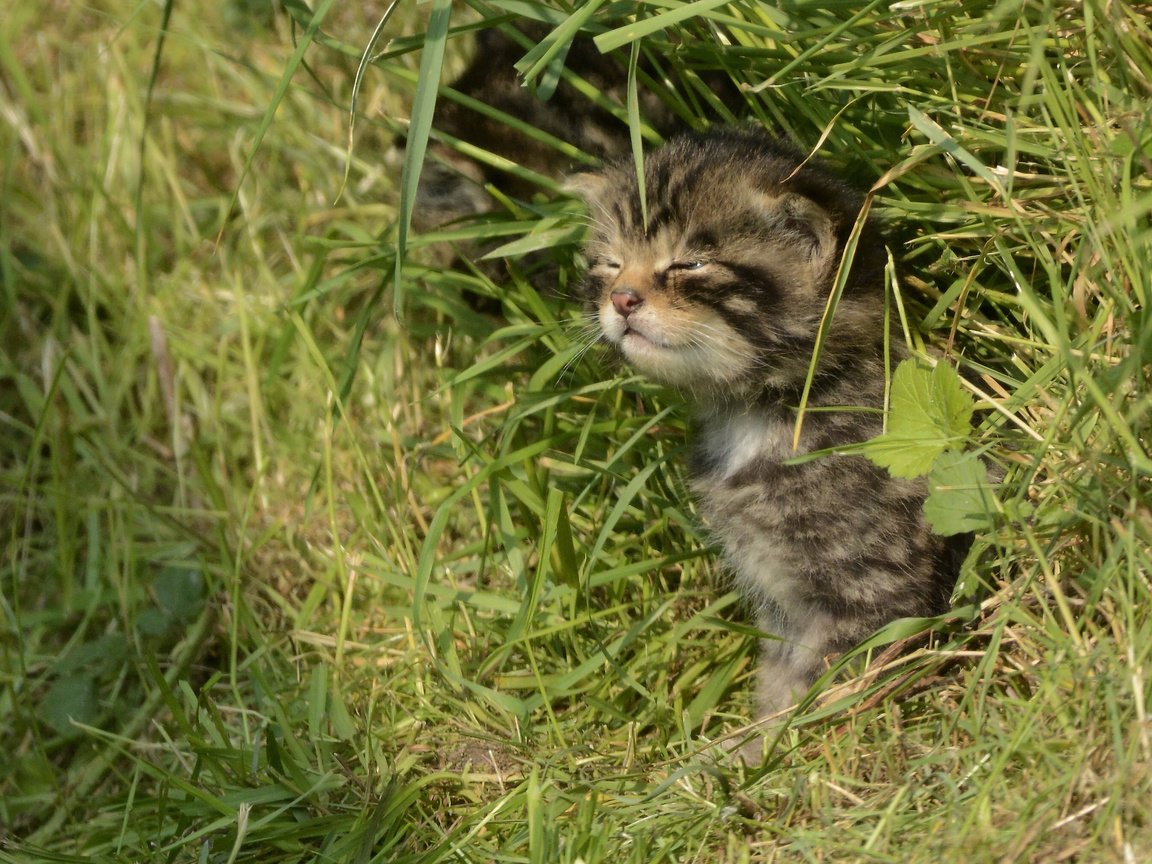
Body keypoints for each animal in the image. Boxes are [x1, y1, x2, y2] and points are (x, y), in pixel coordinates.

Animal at [573, 130, 963, 732]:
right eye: (611, 263)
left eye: (689, 264)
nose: (621, 299)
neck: (765, 411)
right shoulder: (784, 609)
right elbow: (779, 684)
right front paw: (749, 745)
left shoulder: (875, 590)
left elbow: (822, 690)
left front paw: (786, 750)